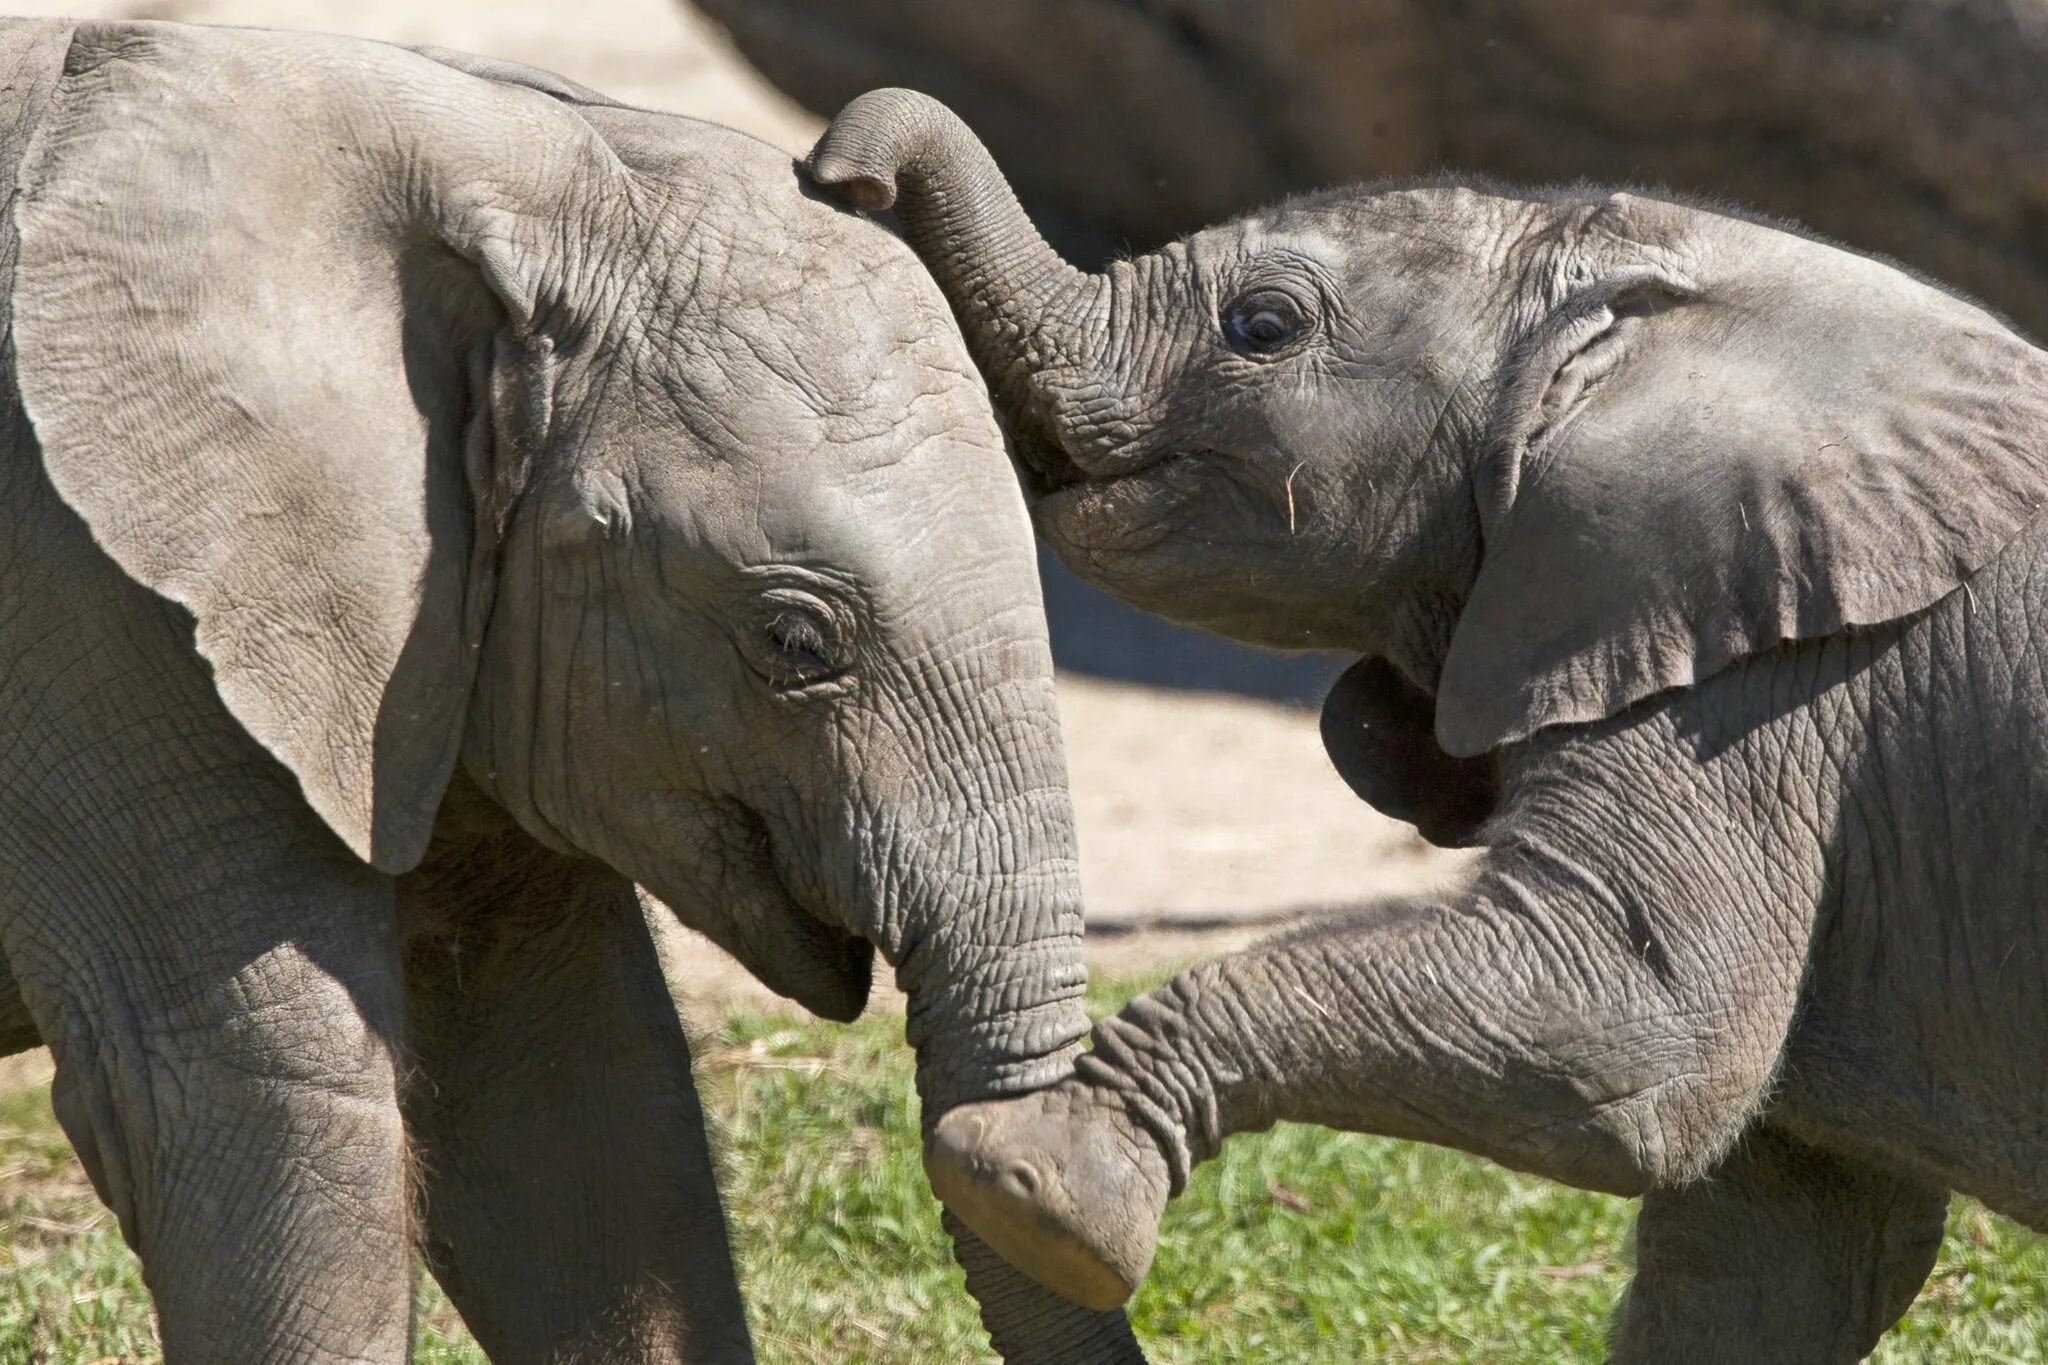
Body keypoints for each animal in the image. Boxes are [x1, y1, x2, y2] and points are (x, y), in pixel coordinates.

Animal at [802, 87, 2048, 1365]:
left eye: (1261, 324)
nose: (835, 172)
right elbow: (1769, 1255)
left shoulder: (1756, 689)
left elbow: (1635, 1035)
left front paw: (1033, 1184)